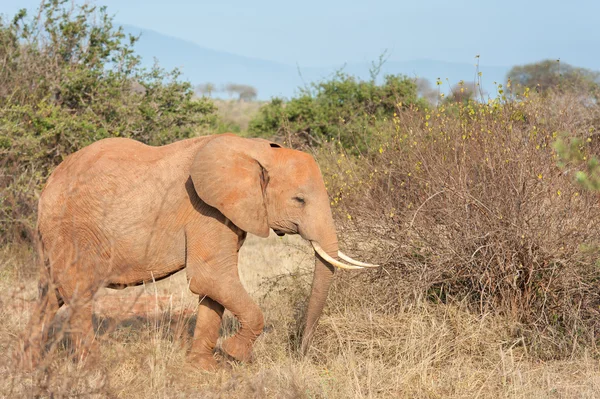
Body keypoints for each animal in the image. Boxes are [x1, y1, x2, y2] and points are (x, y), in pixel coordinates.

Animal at [21, 134, 378, 372]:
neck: (255, 151)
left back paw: (29, 366)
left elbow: (212, 289)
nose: (299, 353)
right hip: (72, 231)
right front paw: (235, 355)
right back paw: (94, 369)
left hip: (53, 237)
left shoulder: (225, 212)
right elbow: (210, 277)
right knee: (77, 294)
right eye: (299, 200)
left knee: (50, 295)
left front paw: (203, 368)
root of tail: (47, 184)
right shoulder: (205, 210)